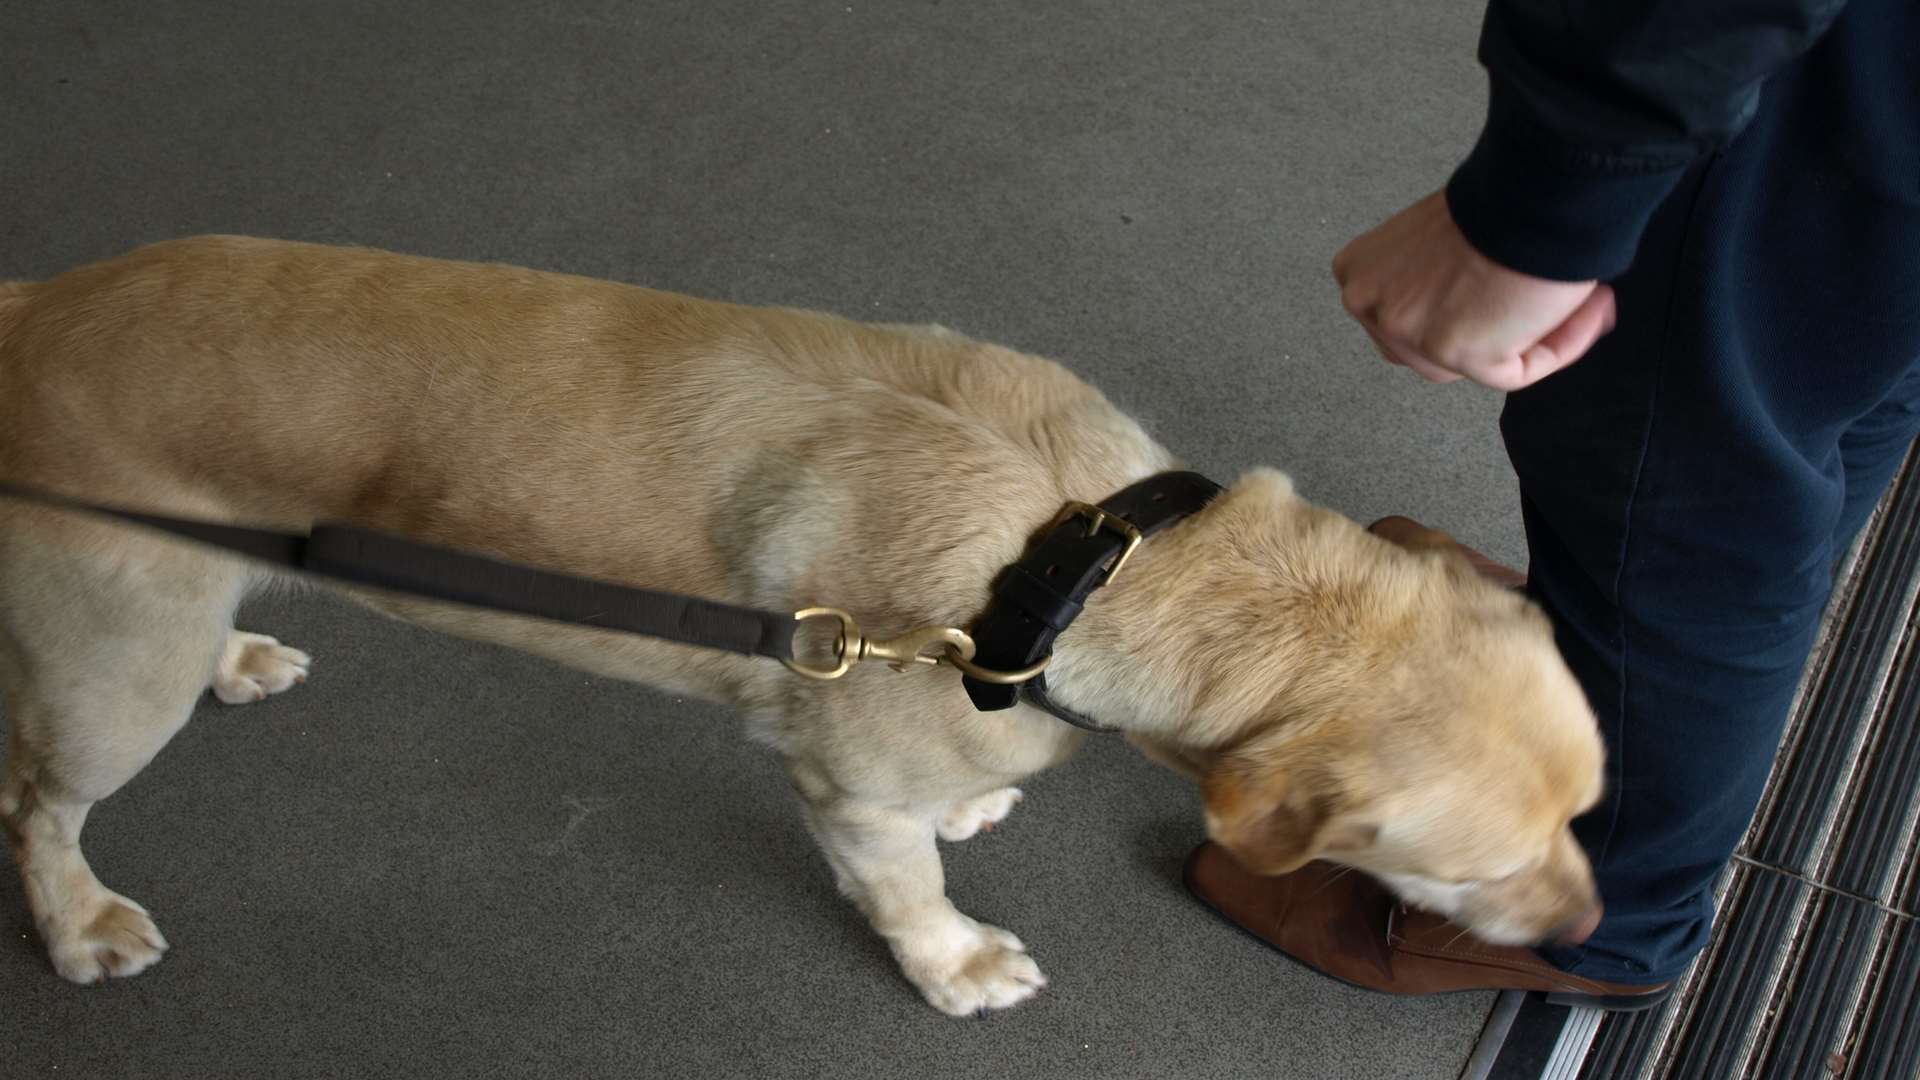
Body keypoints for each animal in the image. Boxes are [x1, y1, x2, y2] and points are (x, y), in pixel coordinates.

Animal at [3, 235, 1605, 1006]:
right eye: (1469, 870)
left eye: (1589, 813)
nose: (1595, 935)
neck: (1090, 556)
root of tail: (31, 309)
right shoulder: (850, 792)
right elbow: (903, 890)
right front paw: (954, 963)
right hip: (111, 676)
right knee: (35, 802)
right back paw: (76, 924)